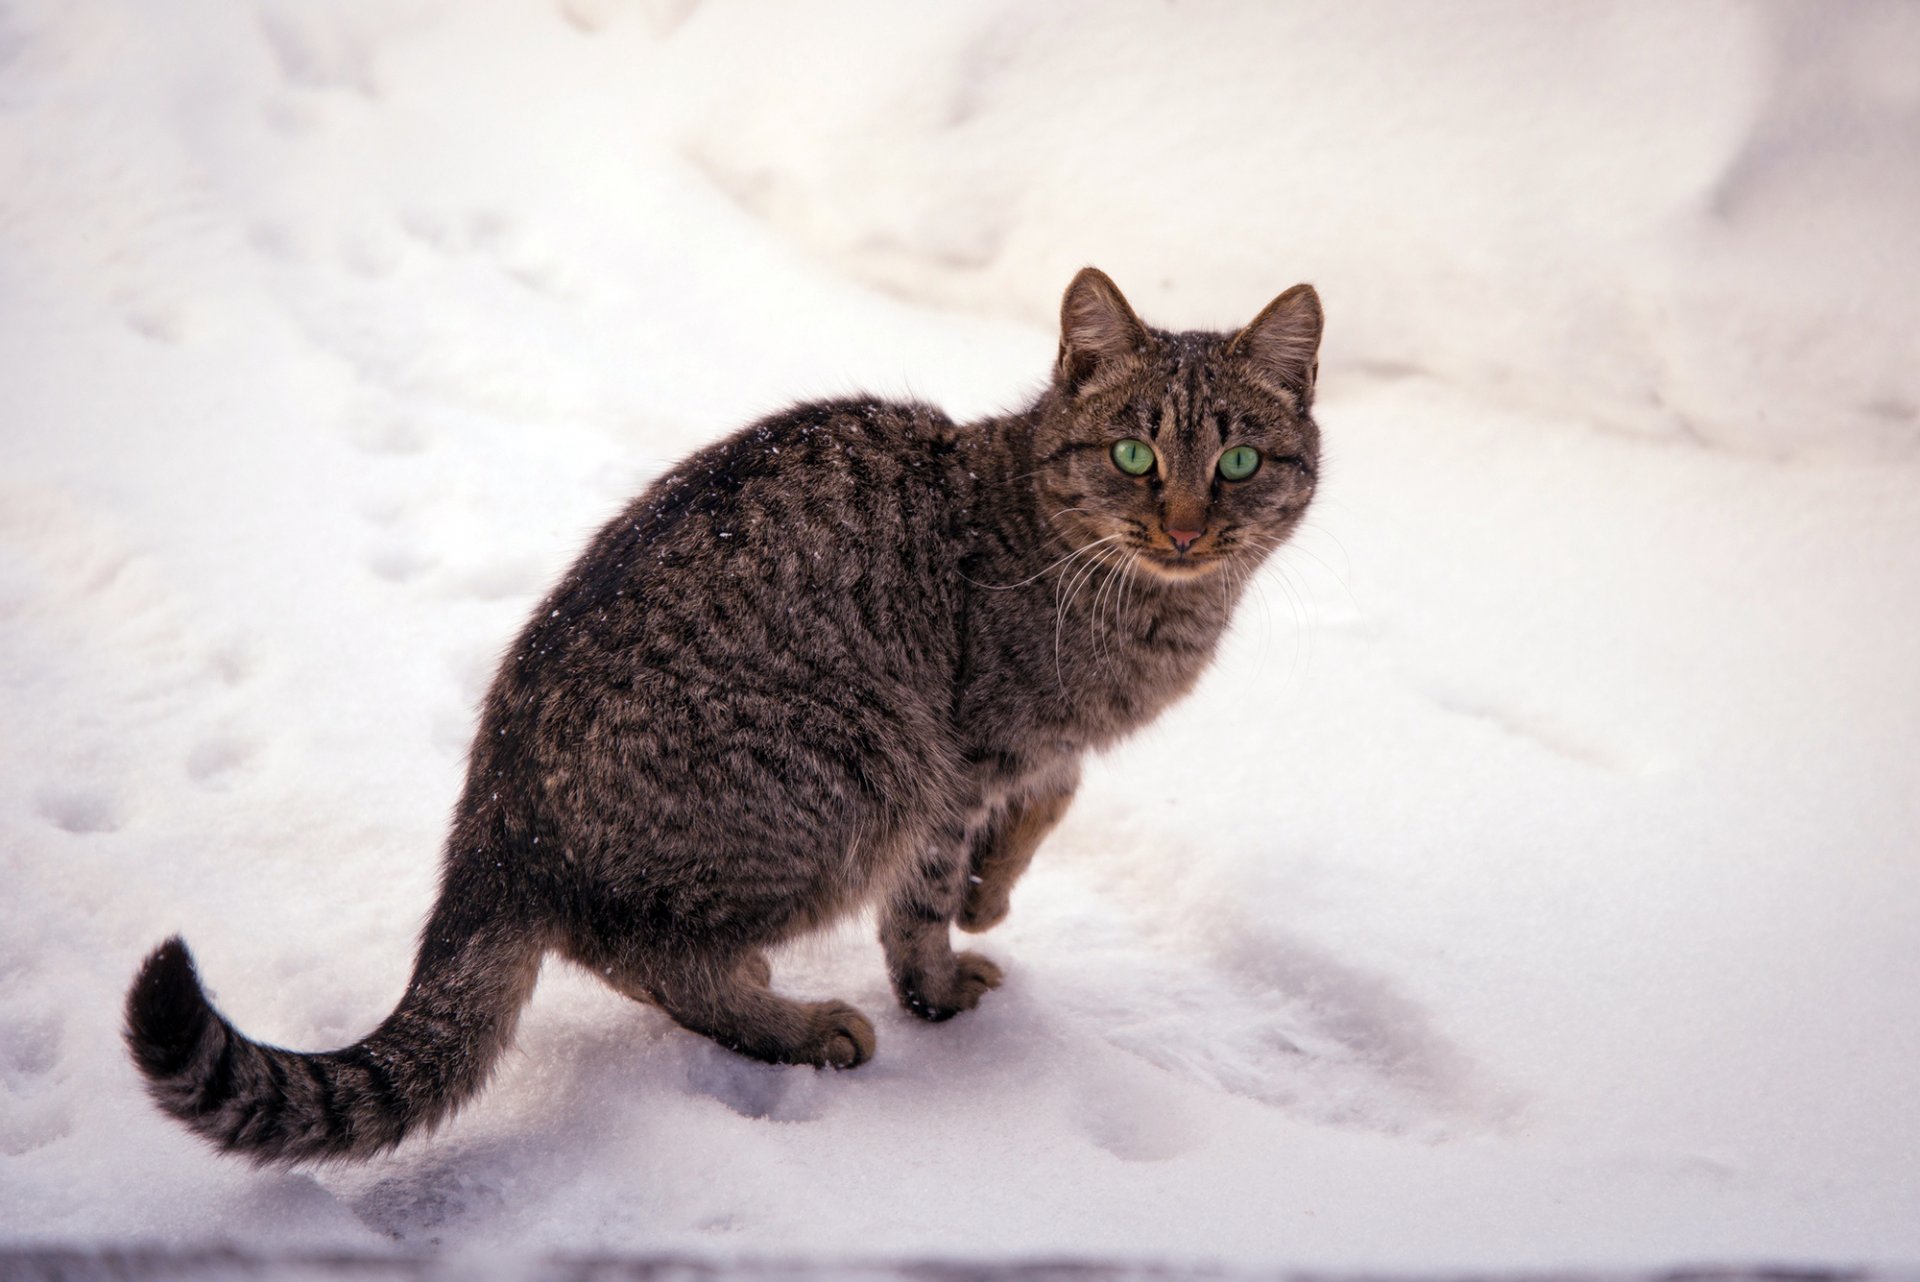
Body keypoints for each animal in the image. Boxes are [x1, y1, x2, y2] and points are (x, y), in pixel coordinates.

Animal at [120, 268, 1320, 1159]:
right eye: (1133, 454)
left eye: (1239, 461)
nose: (1183, 527)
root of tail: (494, 819)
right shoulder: (958, 757)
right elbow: (923, 905)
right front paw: (940, 974)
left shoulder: (1029, 751)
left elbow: (1051, 796)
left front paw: (996, 887)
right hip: (865, 772)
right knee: (645, 954)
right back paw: (796, 1022)